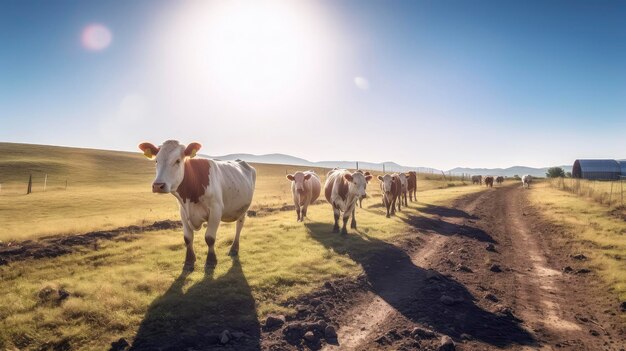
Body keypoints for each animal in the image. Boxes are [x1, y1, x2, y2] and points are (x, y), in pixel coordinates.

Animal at [138, 141, 255, 272]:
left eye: (178, 160)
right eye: (156, 160)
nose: (158, 185)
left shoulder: (216, 211)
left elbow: (210, 238)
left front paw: (211, 261)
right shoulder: (183, 212)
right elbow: (187, 238)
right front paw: (189, 261)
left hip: (243, 208)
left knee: (239, 226)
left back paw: (234, 248)